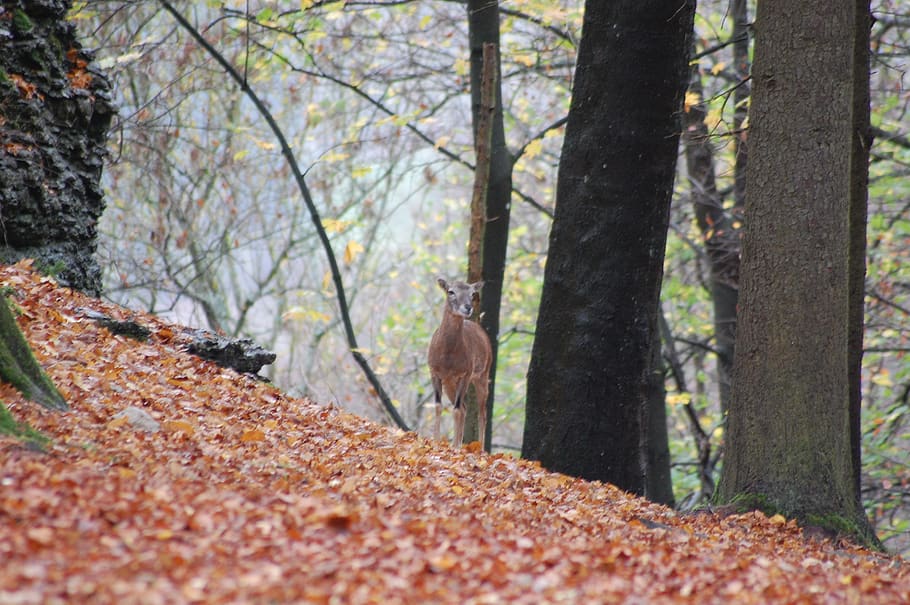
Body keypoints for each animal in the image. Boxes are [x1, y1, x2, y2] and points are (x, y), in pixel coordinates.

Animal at [427, 277, 493, 450]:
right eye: (451, 291)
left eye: (472, 293)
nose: (468, 307)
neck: (447, 358)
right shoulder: (434, 371)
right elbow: (439, 406)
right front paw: (436, 441)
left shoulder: (466, 373)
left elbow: (456, 410)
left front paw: (455, 448)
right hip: (450, 383)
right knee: (465, 407)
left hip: (483, 374)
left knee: (482, 413)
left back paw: (479, 448)